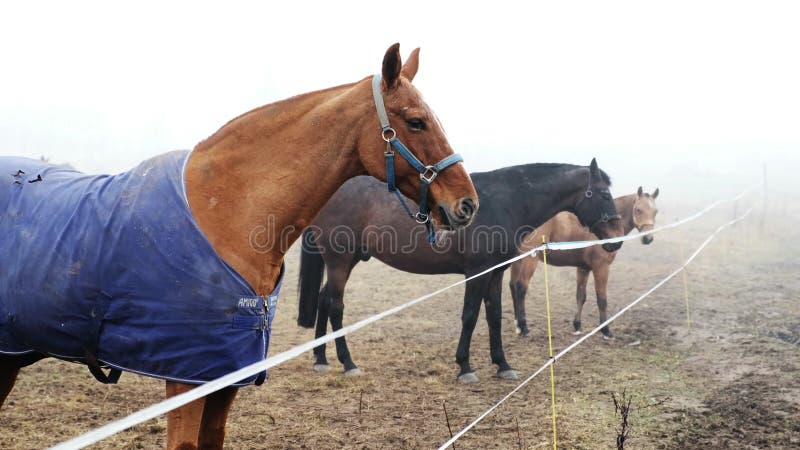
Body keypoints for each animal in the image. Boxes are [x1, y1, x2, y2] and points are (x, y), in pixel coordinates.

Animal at [298, 158, 624, 384]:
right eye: (603, 194)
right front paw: (465, 367)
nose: (617, 239)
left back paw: (321, 359)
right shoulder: (477, 272)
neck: (505, 201)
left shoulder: (496, 272)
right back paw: (348, 363)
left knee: (325, 300)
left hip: (347, 260)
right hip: (340, 261)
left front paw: (503, 365)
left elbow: (494, 316)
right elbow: (470, 316)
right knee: (336, 305)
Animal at [510, 185, 660, 338]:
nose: (648, 239)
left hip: (517, 260)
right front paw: (605, 330)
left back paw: (517, 325)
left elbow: (581, 296)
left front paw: (577, 326)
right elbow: (601, 298)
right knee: (521, 286)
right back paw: (523, 327)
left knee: (513, 286)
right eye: (638, 210)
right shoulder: (601, 267)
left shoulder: (583, 268)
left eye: (655, 211)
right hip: (529, 259)